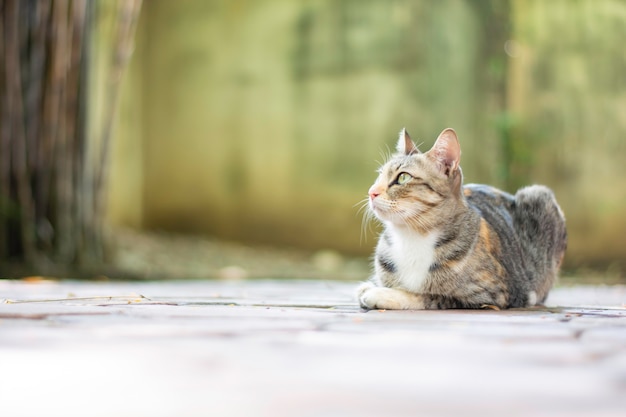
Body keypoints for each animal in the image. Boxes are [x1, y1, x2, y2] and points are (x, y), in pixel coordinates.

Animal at [356, 127, 564, 308]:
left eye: (403, 177)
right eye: (380, 175)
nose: (371, 192)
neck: (412, 236)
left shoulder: (489, 295)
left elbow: (427, 296)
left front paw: (380, 293)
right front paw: (370, 287)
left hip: (540, 195)